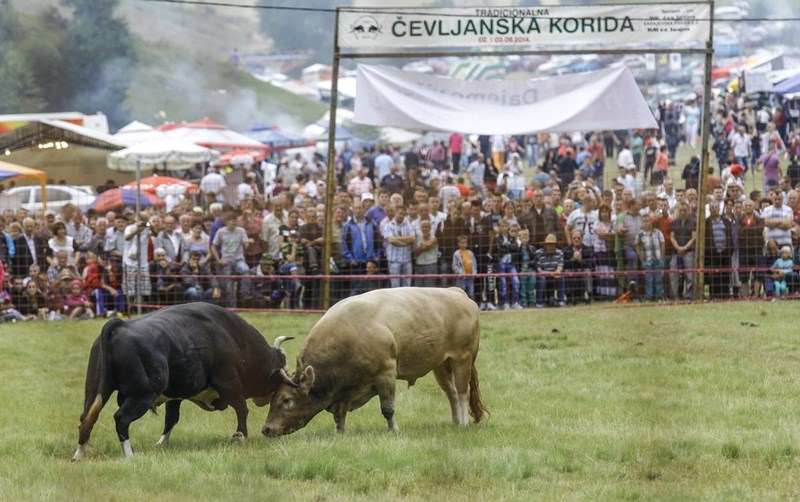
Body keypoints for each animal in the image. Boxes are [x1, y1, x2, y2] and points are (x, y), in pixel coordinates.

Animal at [71, 302, 296, 458]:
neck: (235, 338)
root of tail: (120, 325)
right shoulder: (229, 383)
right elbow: (242, 408)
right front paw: (240, 436)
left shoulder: (175, 397)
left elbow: (171, 419)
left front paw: (161, 443)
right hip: (142, 395)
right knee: (121, 419)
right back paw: (129, 454)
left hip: (94, 391)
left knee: (86, 419)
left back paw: (79, 454)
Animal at [262, 286, 488, 436]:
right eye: (273, 398)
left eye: (286, 399)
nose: (266, 429)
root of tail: (458, 293)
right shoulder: (344, 391)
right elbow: (339, 415)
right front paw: (339, 433)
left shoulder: (386, 375)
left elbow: (387, 409)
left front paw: (394, 429)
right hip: (441, 365)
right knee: (451, 394)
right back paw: (455, 422)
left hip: (462, 359)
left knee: (462, 392)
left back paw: (464, 423)